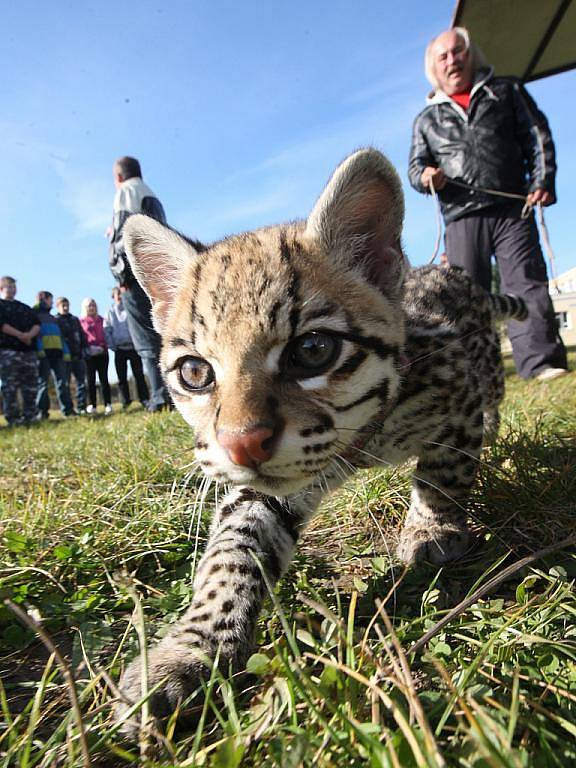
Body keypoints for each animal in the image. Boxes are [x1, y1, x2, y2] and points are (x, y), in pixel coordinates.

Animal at [116, 146, 528, 732]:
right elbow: (233, 550)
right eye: (195, 373)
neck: (365, 438)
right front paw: (191, 648)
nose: (241, 444)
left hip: (487, 371)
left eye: (312, 350)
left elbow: (444, 472)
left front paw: (432, 525)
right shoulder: (265, 484)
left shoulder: (458, 391)